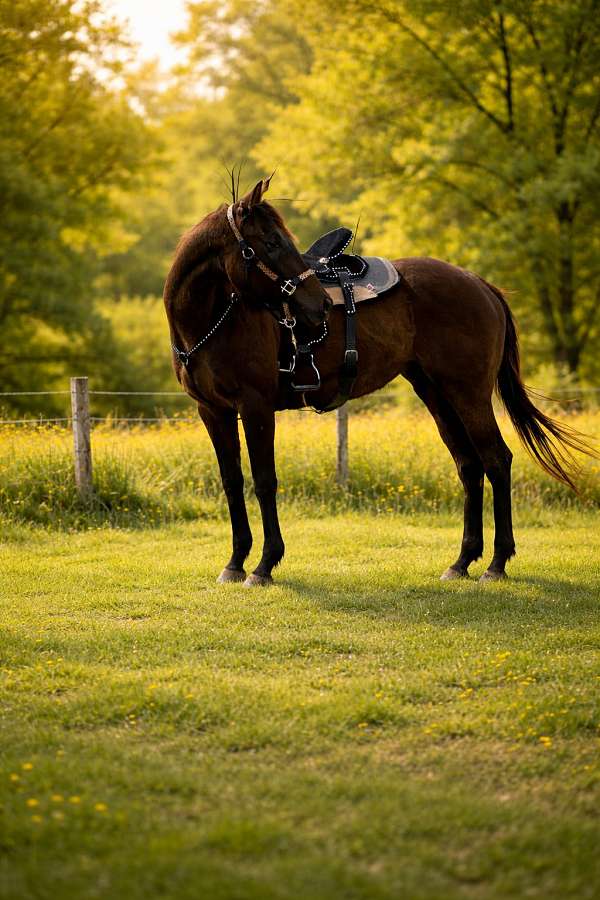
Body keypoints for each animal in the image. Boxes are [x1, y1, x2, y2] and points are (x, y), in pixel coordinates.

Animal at [164, 177, 591, 587]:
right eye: (270, 242)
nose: (320, 305)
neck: (213, 321)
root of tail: (479, 283)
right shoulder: (213, 412)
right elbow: (232, 481)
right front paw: (235, 562)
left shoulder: (256, 407)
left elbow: (264, 481)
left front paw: (265, 564)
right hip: (437, 395)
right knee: (469, 466)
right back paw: (462, 562)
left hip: (469, 395)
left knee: (496, 460)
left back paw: (497, 563)